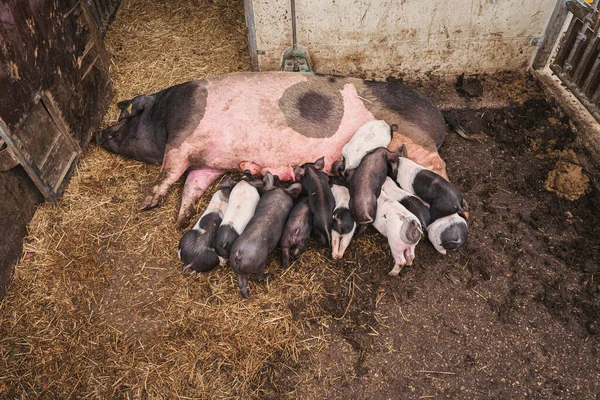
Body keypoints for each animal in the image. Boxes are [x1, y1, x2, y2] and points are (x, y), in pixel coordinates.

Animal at [96, 72, 450, 228]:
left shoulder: (182, 137)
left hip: (413, 138)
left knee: (438, 165)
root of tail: (438, 117)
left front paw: (145, 204)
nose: (99, 133)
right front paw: (182, 220)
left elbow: (169, 171)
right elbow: (193, 184)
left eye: (125, 118)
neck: (163, 115)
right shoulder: (207, 162)